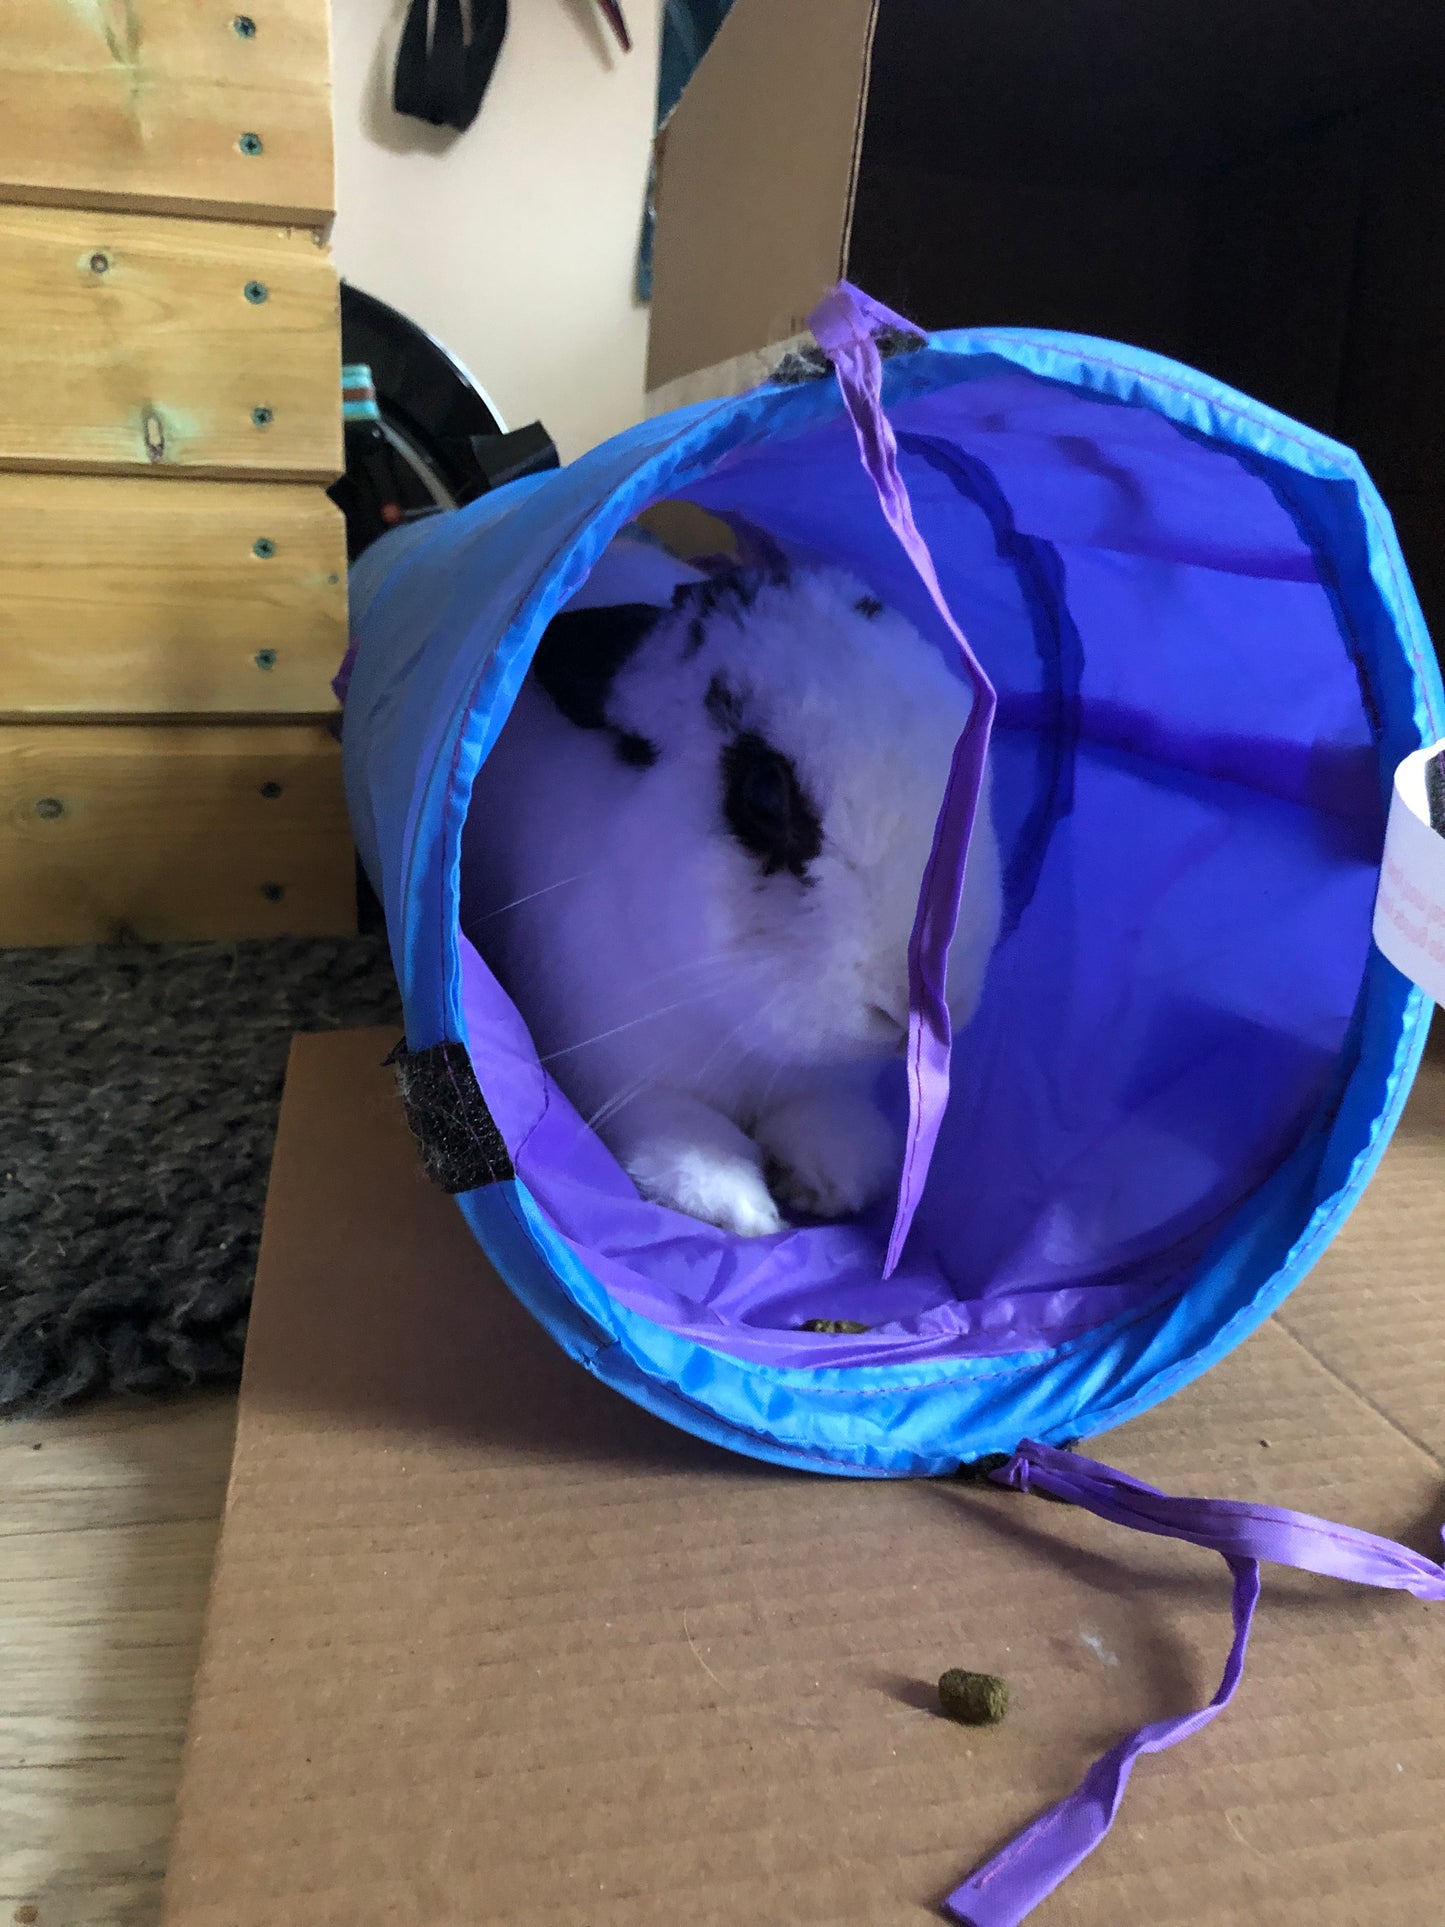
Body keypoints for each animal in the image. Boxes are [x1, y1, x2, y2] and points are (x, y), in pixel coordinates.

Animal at [458, 539, 1001, 1233]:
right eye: (764, 794)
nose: (917, 1009)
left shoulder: (824, 1084)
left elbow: (826, 1119)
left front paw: (831, 1182)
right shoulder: (604, 1070)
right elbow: (681, 1134)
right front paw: (744, 1210)